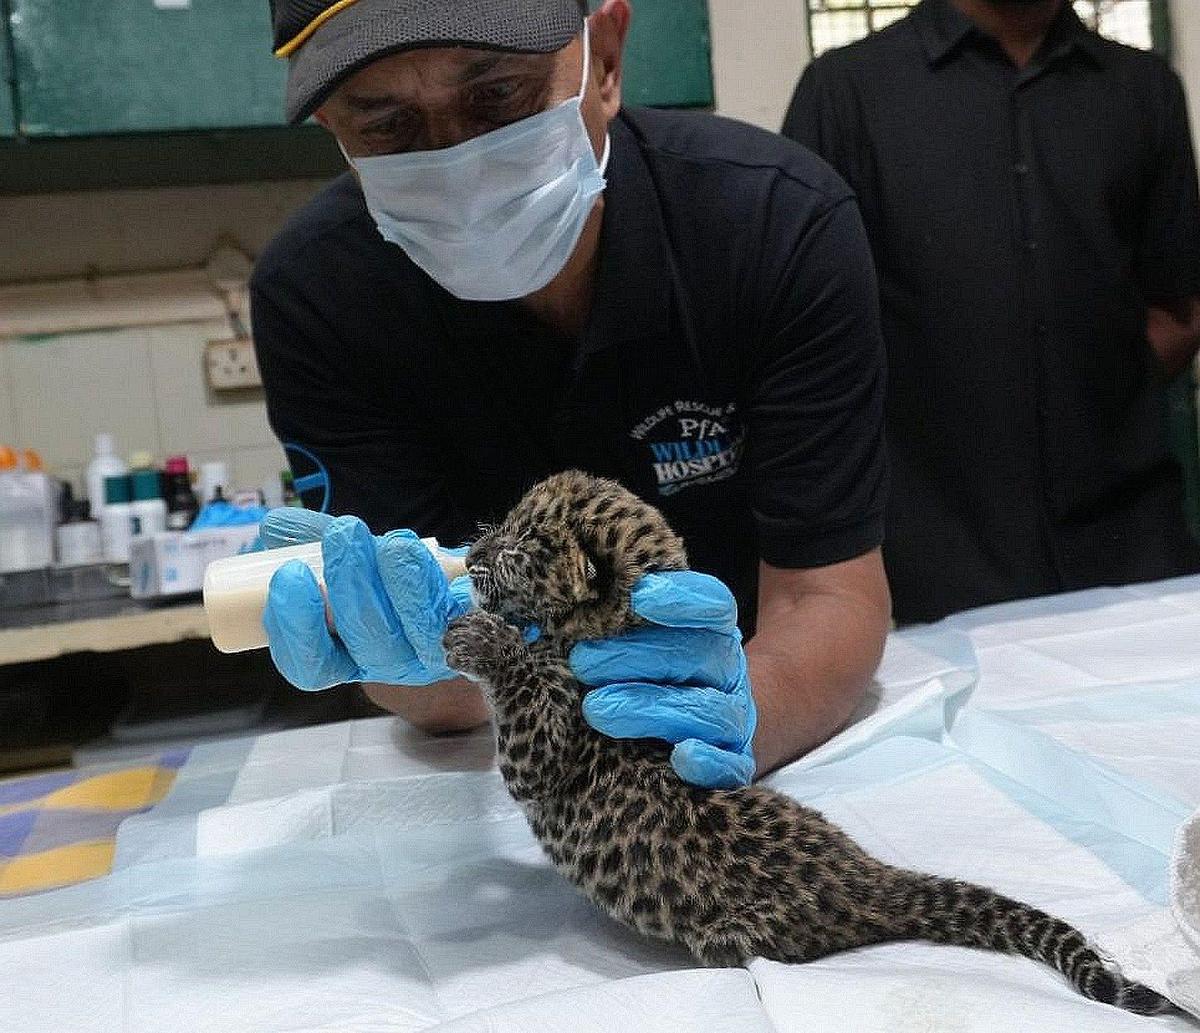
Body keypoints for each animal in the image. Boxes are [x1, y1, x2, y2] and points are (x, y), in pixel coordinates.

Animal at [442, 469, 1171, 1016]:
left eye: (519, 545)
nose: (470, 557)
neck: (609, 627)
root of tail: (867, 874)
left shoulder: (549, 755)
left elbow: (524, 703)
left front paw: (481, 639)